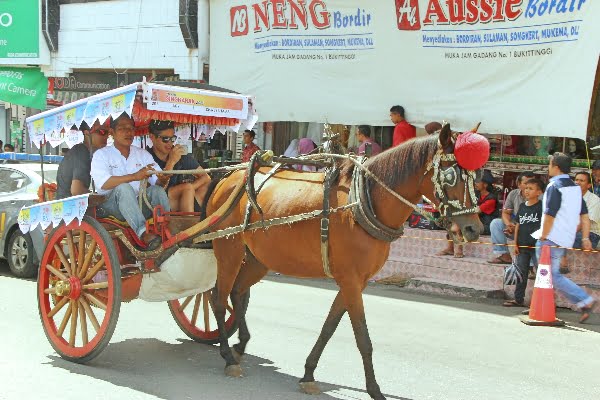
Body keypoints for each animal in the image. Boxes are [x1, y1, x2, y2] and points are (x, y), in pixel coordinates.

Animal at [206, 123, 482, 398]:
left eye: (474, 177)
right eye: (450, 176)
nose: (473, 229)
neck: (365, 201)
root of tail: (228, 178)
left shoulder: (356, 281)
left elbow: (329, 327)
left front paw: (308, 373)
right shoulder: (350, 280)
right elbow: (363, 338)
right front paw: (374, 389)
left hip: (258, 259)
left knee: (237, 293)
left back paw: (240, 345)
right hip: (229, 249)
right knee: (218, 298)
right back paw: (227, 356)